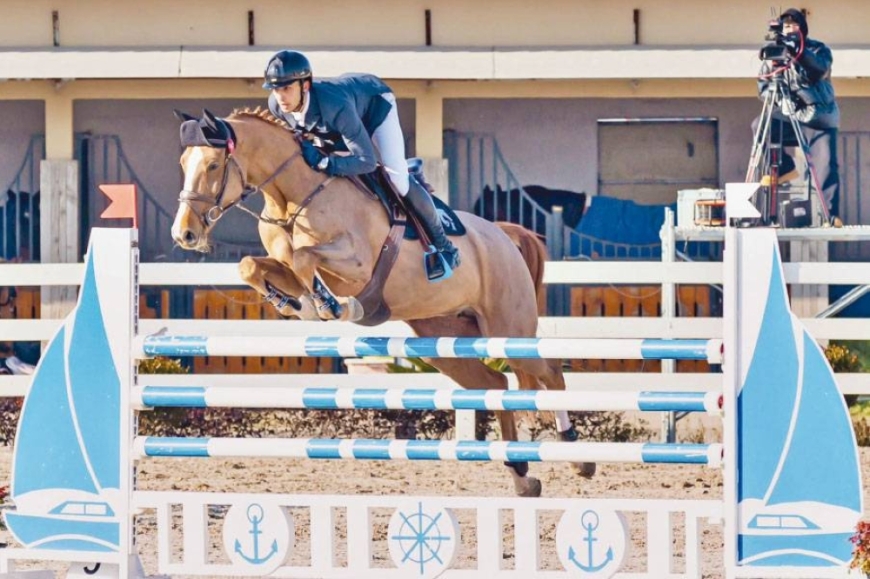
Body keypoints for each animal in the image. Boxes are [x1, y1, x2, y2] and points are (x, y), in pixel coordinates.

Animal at [170, 110, 592, 498]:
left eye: (212, 165)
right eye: (183, 164)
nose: (184, 234)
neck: (294, 196)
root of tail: (505, 234)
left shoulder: (355, 266)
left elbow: (306, 259)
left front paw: (332, 306)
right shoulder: (284, 262)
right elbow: (254, 265)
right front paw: (296, 303)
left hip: (508, 328)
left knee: (549, 372)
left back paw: (577, 457)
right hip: (444, 336)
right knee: (497, 384)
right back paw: (522, 476)